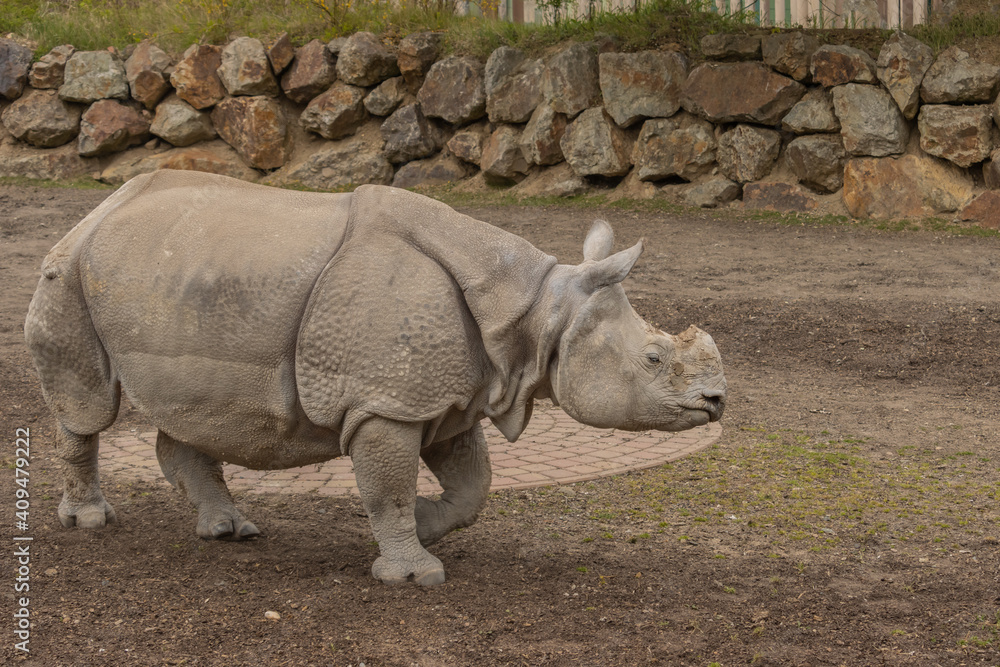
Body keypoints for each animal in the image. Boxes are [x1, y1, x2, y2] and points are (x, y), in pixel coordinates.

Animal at [26, 170, 725, 586]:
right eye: (653, 359)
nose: (718, 401)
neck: (536, 313)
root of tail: (100, 206)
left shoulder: (449, 395)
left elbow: (473, 485)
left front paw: (424, 521)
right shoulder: (386, 401)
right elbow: (387, 485)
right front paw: (413, 574)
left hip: (174, 276)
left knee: (192, 413)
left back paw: (229, 531)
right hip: (69, 270)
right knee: (86, 408)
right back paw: (90, 521)